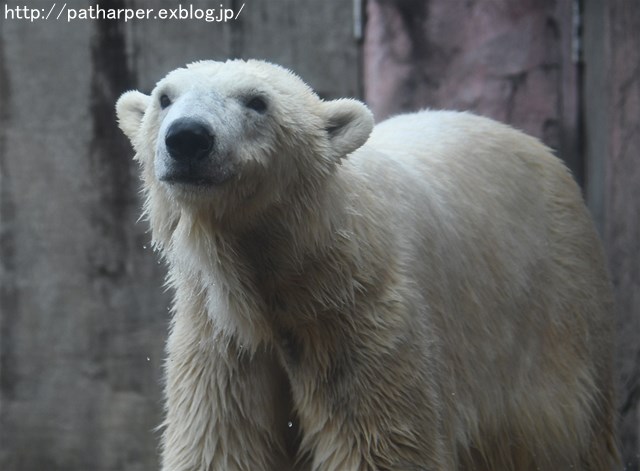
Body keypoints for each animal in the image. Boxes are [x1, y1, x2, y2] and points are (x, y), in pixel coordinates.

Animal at [116, 60, 620, 471]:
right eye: (164, 98)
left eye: (257, 101)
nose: (188, 137)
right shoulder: (220, 339)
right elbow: (219, 441)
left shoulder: (363, 318)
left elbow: (378, 444)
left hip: (555, 315)